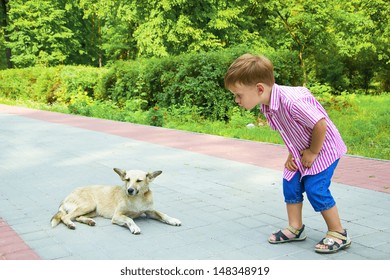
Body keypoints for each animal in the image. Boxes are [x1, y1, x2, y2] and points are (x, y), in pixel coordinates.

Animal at [50, 168, 181, 234]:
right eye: (127, 179)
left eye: (139, 180)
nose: (130, 190)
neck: (137, 199)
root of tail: (65, 197)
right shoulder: (117, 216)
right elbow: (129, 219)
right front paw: (134, 227)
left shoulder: (150, 211)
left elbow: (163, 214)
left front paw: (173, 220)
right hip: (88, 205)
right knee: (65, 217)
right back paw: (70, 224)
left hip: (92, 210)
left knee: (77, 217)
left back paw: (89, 221)